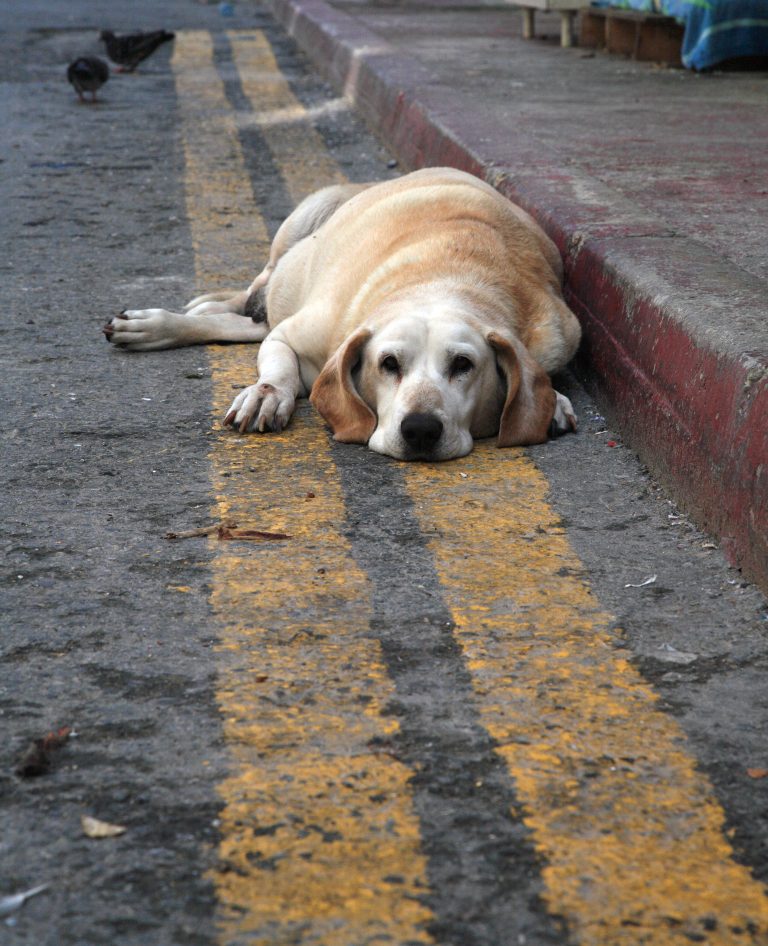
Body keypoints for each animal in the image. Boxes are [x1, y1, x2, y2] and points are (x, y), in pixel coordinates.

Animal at [105, 167, 580, 460]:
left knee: (244, 324)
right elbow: (279, 367)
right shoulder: (294, 336)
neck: (448, 277)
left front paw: (553, 401)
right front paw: (267, 393)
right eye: (388, 363)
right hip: (309, 213)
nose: (420, 429)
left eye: (463, 365)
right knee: (262, 290)